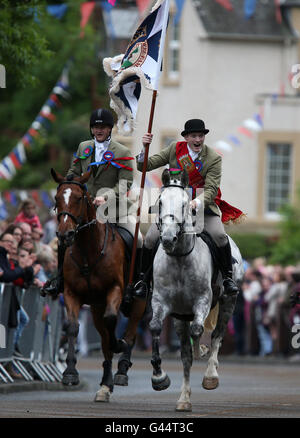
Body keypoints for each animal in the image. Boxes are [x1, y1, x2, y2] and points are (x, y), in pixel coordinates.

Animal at [51, 169, 148, 402]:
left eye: (79, 198)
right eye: (57, 198)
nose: (64, 235)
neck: (88, 250)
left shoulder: (115, 290)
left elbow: (113, 320)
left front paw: (119, 345)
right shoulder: (71, 293)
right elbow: (72, 326)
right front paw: (70, 372)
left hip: (138, 301)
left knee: (130, 331)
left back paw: (122, 369)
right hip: (95, 307)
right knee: (104, 339)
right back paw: (106, 383)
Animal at [149, 169, 245, 412]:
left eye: (185, 204)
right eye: (160, 202)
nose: (168, 238)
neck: (179, 258)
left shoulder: (202, 301)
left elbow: (199, 331)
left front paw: (202, 354)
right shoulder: (162, 303)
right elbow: (156, 329)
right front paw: (159, 377)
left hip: (229, 302)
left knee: (217, 334)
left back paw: (210, 374)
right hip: (179, 317)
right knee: (186, 355)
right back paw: (183, 399)